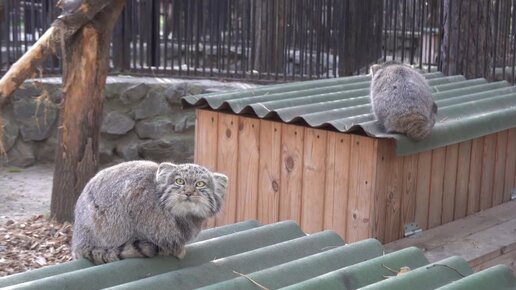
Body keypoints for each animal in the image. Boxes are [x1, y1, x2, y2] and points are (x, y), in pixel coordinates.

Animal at [71, 161, 228, 266]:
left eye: (200, 184)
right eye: (179, 181)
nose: (188, 192)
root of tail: (78, 243)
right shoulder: (134, 196)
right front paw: (170, 249)